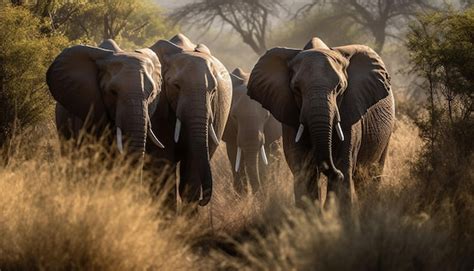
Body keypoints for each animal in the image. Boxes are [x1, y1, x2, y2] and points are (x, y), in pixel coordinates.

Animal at [146, 34, 231, 208]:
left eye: (213, 90)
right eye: (176, 86)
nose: (202, 201)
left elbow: (192, 166)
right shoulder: (158, 107)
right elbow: (163, 161)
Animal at [248, 37, 396, 208]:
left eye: (339, 88)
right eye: (296, 89)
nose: (336, 173)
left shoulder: (350, 113)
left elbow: (344, 164)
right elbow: (304, 171)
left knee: (370, 176)